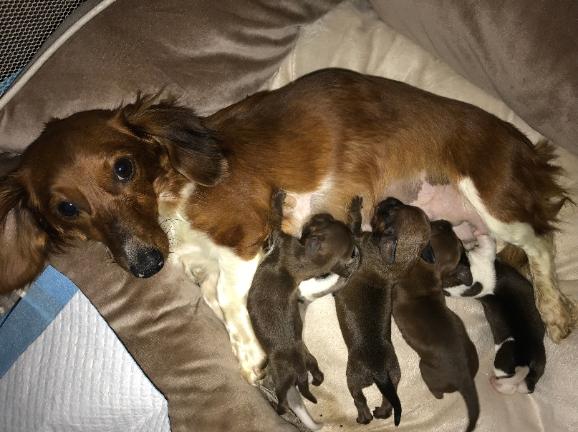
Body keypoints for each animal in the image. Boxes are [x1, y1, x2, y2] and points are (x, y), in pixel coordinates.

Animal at [247, 190, 359, 429]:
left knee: (283, 396)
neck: (307, 258)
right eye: (326, 222)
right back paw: (315, 384)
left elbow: (275, 215)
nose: (320, 214)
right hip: (309, 359)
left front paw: (278, 198)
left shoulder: (280, 237)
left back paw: (281, 408)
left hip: (283, 378)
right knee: (315, 376)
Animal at [333, 196, 402, 425]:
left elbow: (353, 223)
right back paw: (381, 412)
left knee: (358, 397)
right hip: (395, 374)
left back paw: (364, 416)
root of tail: (379, 371)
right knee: (389, 399)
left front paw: (355, 206)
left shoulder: (356, 237)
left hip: (353, 376)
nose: (388, 199)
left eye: (386, 212)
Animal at [378, 199, 479, 432]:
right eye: (444, 228)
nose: (447, 221)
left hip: (424, 369)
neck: (430, 267)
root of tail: (464, 379)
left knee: (437, 393)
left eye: (437, 226)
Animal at [442, 235, 546, 394]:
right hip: (535, 368)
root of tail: (528, 364)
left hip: (502, 363)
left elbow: (486, 242)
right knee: (521, 387)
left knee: (510, 384)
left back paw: (494, 383)